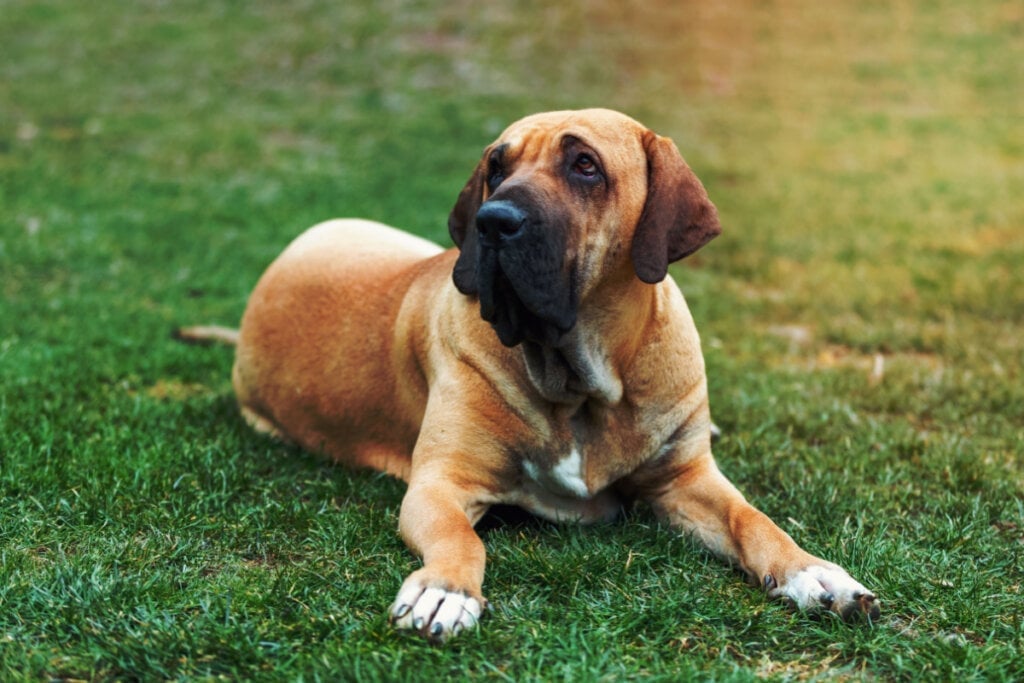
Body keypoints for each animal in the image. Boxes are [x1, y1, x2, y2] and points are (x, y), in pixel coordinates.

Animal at [176, 109, 880, 643]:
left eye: (585, 165)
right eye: (496, 167)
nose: (493, 222)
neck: (583, 381)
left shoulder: (685, 479)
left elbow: (752, 519)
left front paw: (814, 573)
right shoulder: (439, 485)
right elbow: (461, 538)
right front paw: (444, 591)